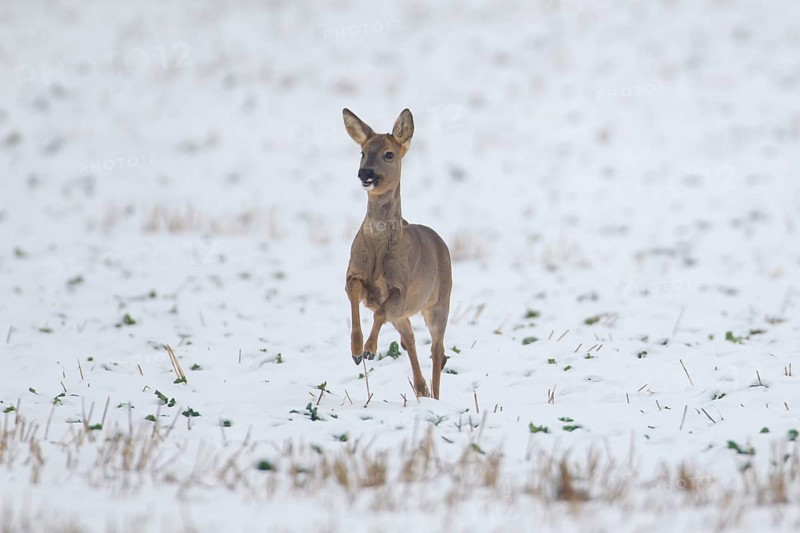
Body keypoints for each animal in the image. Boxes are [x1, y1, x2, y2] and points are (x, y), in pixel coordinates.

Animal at [342, 108, 452, 400]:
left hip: (440, 301)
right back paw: (421, 389)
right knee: (410, 339)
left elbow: (380, 312)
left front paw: (369, 350)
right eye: (362, 152)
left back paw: (434, 396)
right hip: (406, 315)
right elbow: (355, 295)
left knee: (437, 349)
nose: (365, 173)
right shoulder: (353, 273)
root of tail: (442, 243)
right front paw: (356, 351)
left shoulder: (400, 287)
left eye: (389, 154)